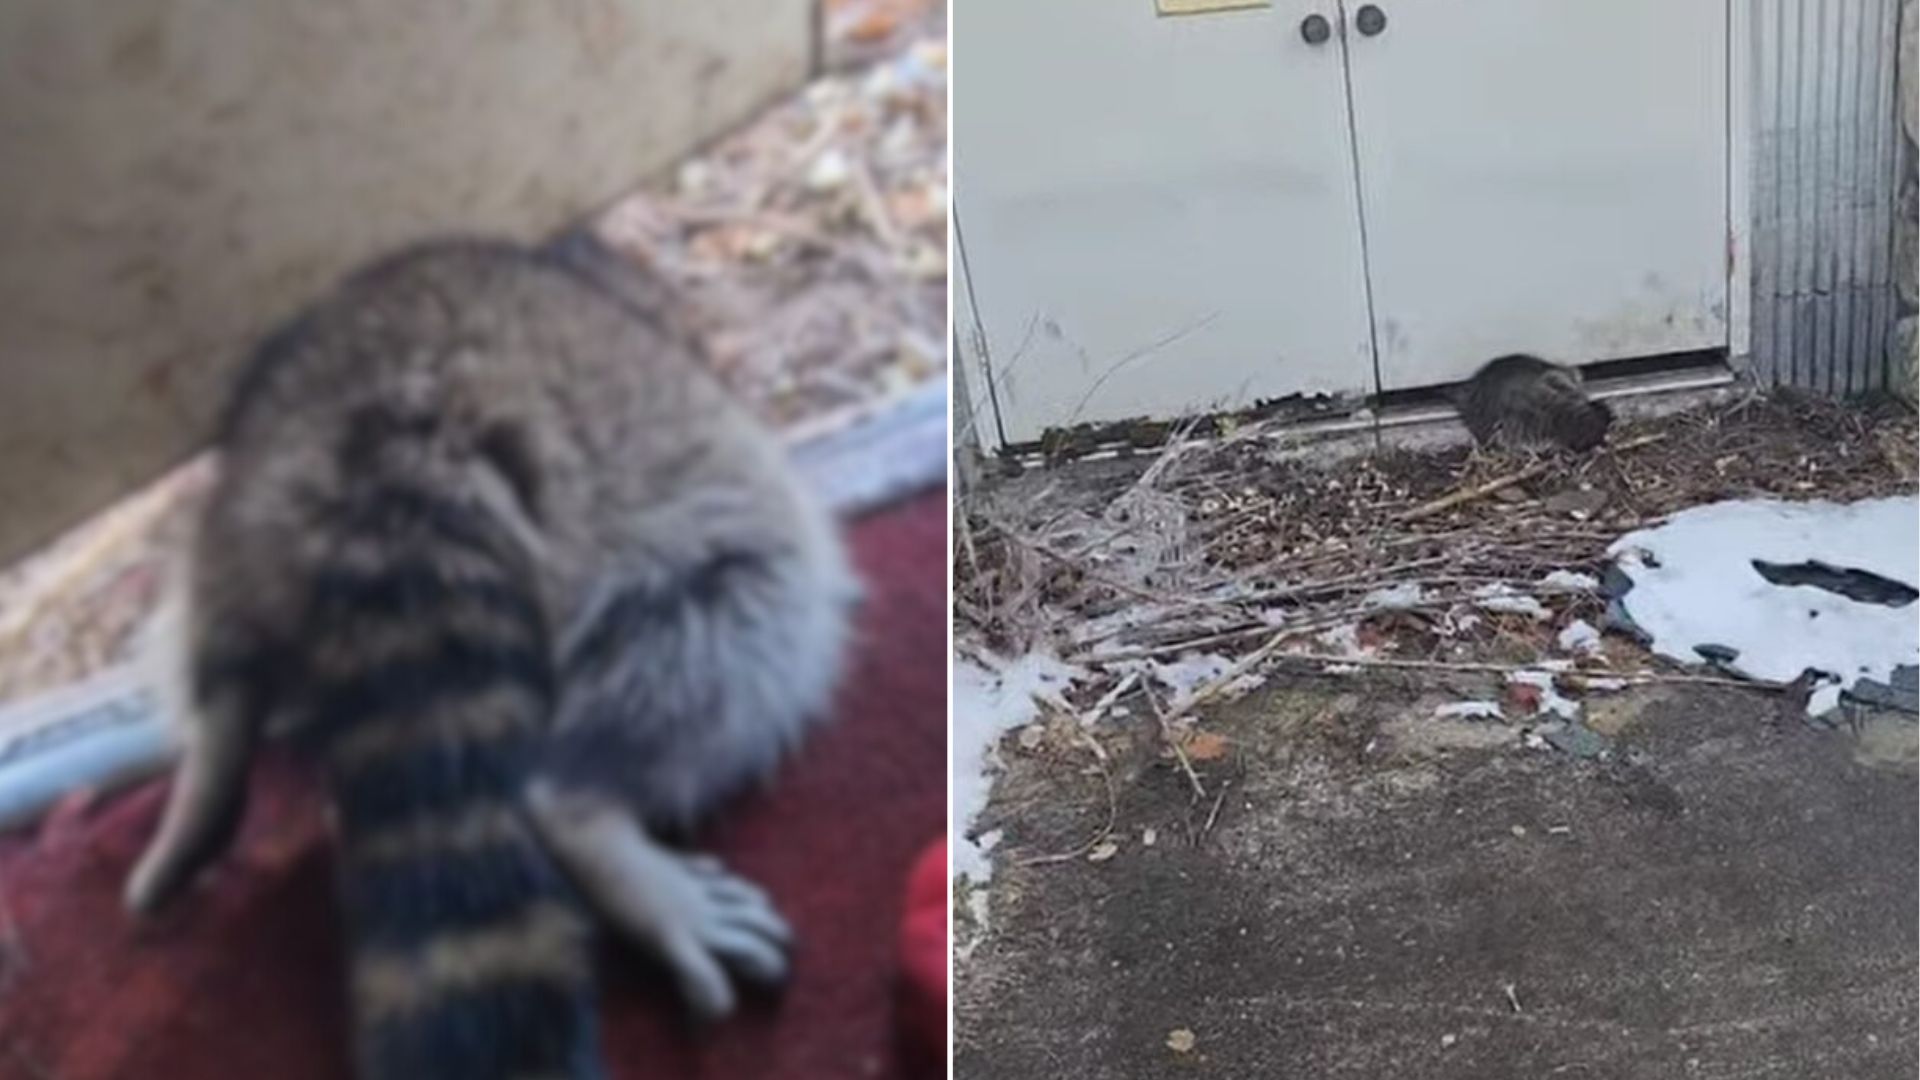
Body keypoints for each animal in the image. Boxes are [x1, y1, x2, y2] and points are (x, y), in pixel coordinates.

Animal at [124, 238, 858, 1078]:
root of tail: (393, 429)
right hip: (640, 474)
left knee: (219, 663)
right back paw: (587, 815)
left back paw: (207, 775)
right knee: (754, 605)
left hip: (238, 524)